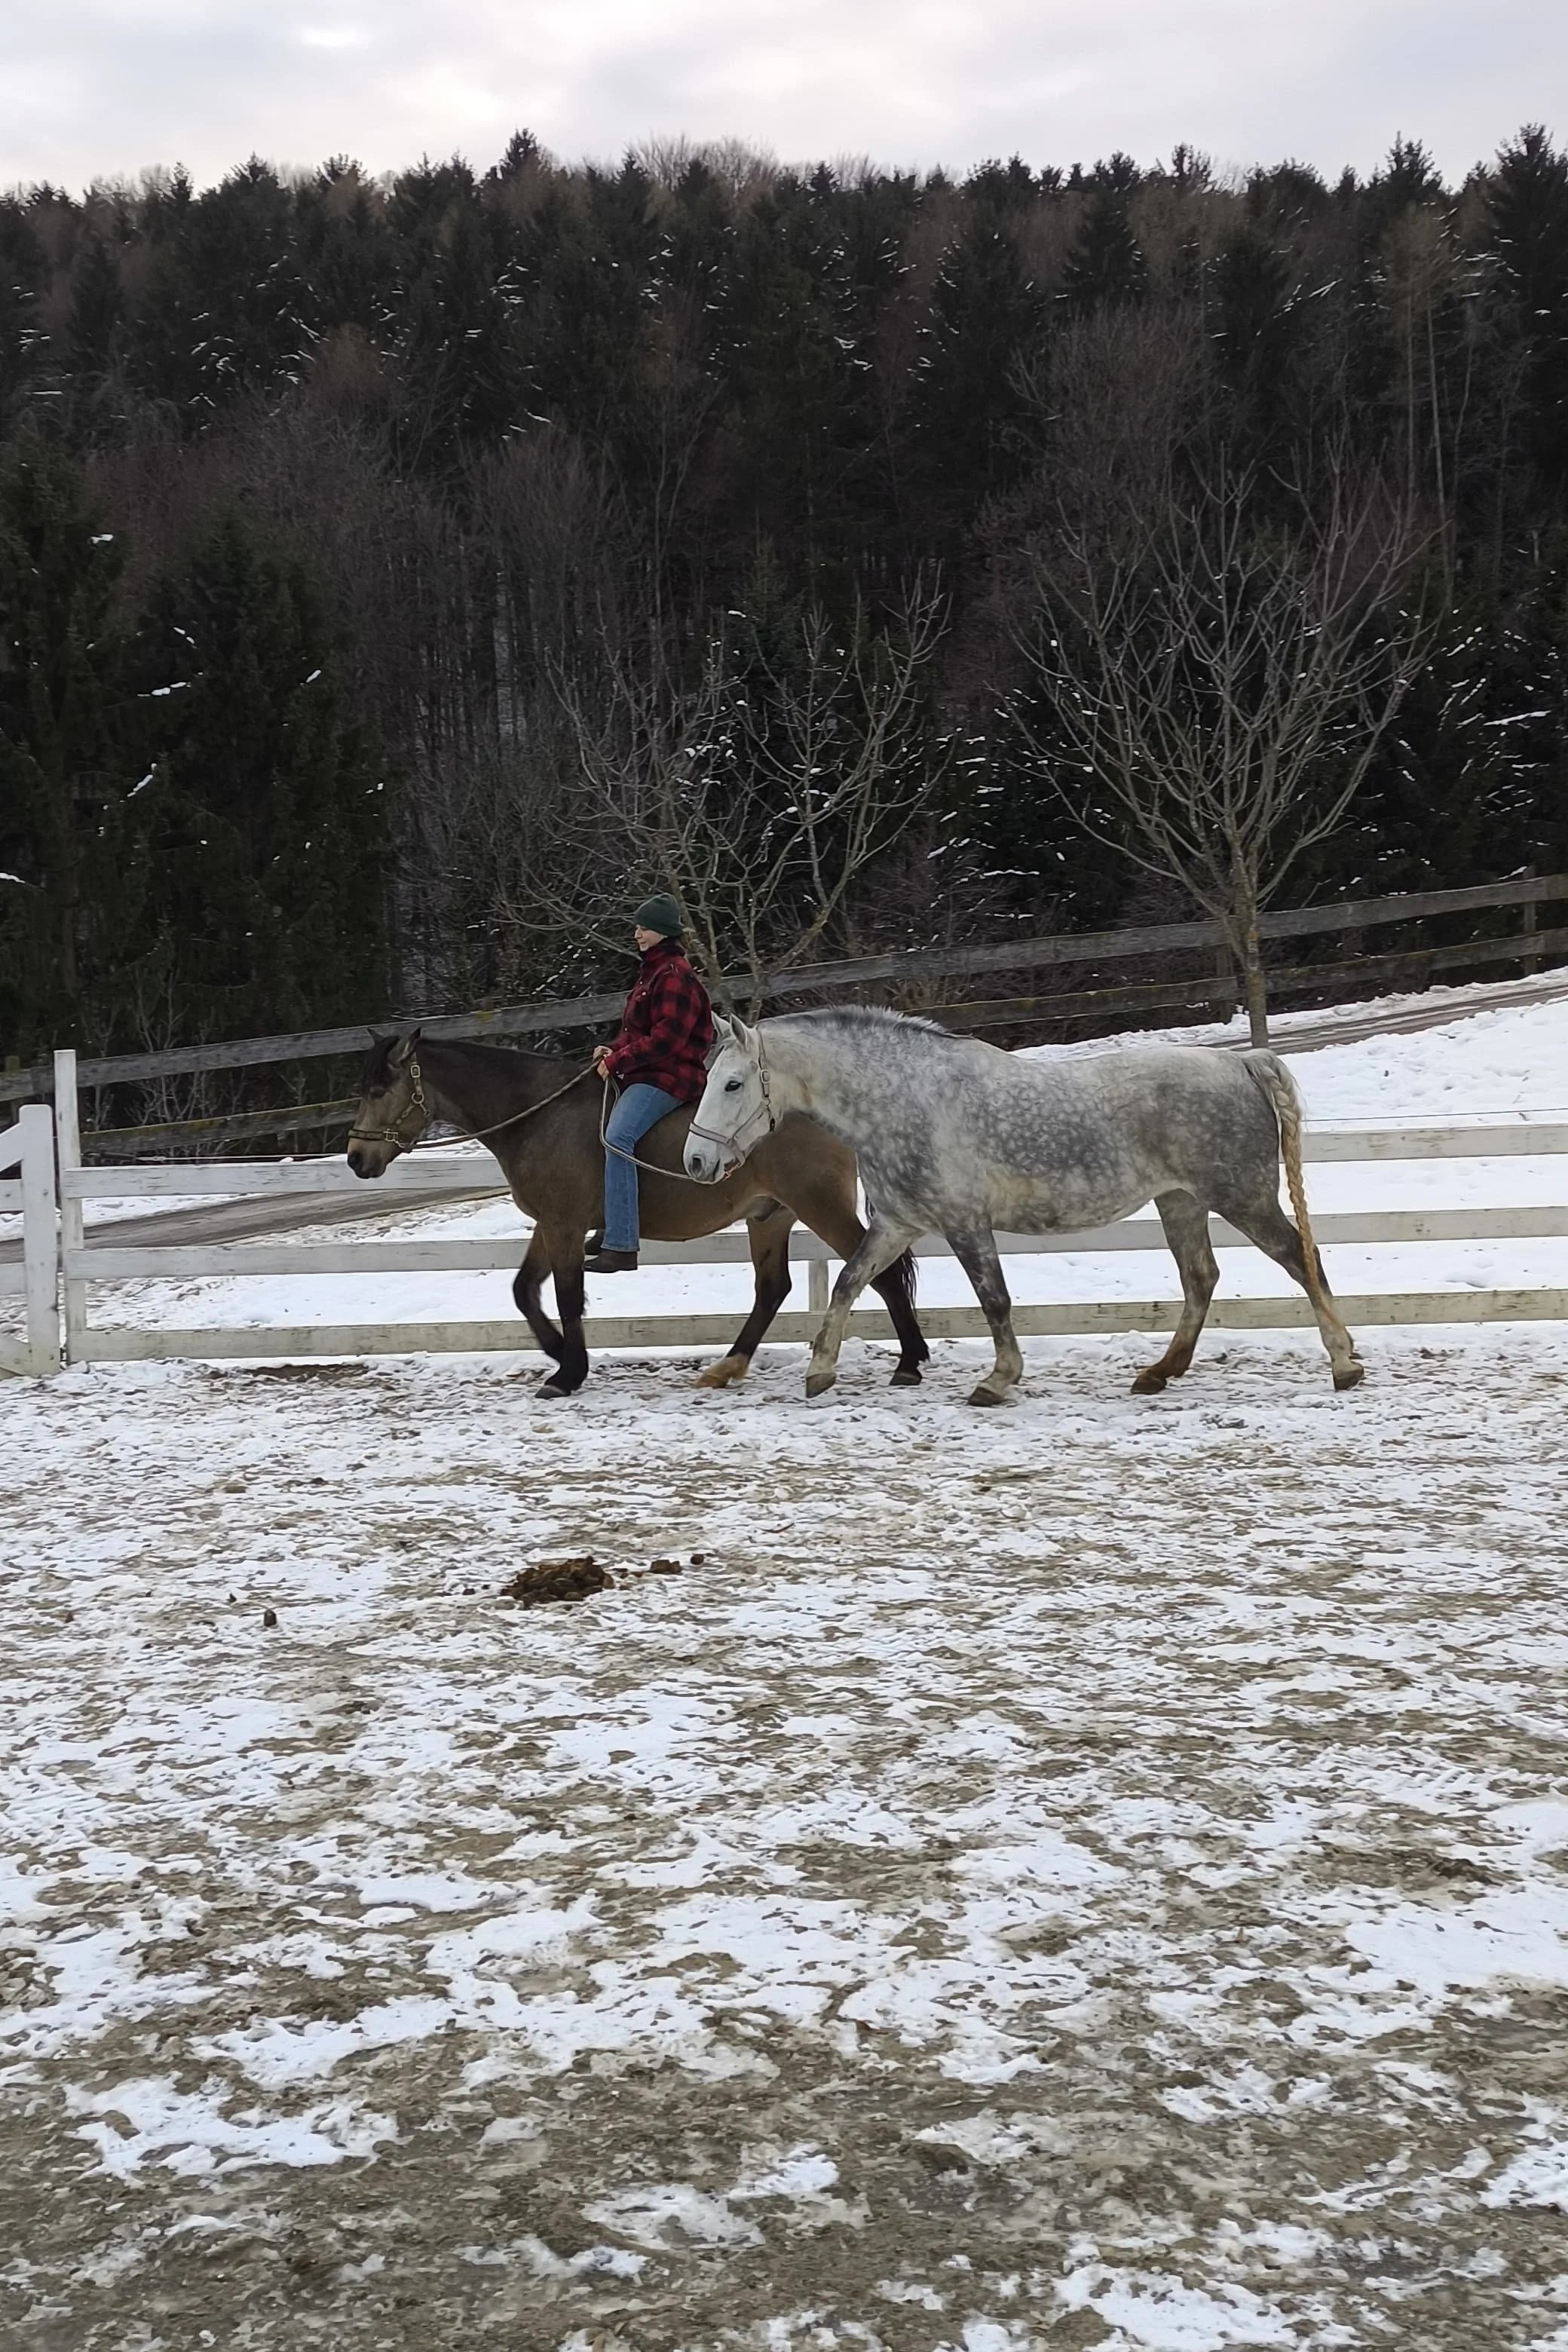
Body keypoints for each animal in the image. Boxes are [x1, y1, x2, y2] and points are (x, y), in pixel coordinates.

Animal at [345, 1027, 929, 1398]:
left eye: (378, 1089)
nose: (355, 1158)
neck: (534, 1115)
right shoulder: (551, 1223)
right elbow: (524, 1291)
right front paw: (557, 1353)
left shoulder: (564, 1224)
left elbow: (566, 1295)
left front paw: (567, 1372)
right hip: (770, 1214)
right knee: (773, 1289)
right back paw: (727, 1367)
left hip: (817, 1204)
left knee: (877, 1273)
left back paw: (909, 1361)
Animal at [682, 1006, 1364, 1407]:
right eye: (709, 1078)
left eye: (733, 1083)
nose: (695, 1163)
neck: (902, 1101)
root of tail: (1240, 1061)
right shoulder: (899, 1223)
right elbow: (851, 1282)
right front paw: (820, 1372)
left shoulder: (965, 1223)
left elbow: (994, 1299)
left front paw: (998, 1380)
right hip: (1181, 1203)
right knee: (1201, 1278)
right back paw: (1157, 1373)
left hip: (1241, 1196)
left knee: (1302, 1261)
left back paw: (1343, 1363)